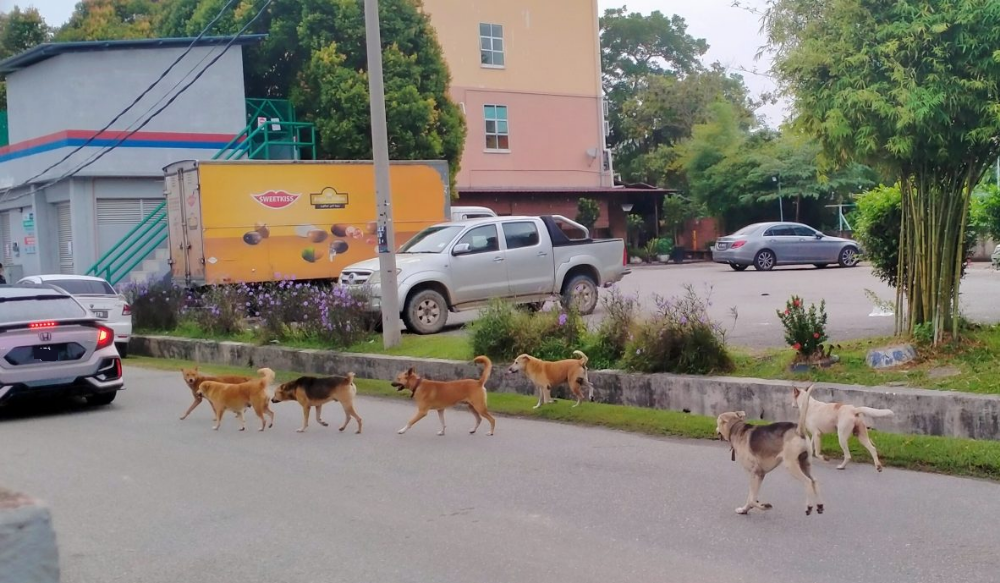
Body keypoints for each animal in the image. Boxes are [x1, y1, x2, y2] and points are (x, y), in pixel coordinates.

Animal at [716, 386, 824, 516]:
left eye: (718, 422)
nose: (716, 429)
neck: (736, 427)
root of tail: (799, 430)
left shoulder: (755, 473)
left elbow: (752, 498)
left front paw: (763, 506)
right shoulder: (760, 474)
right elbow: (751, 497)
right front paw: (745, 509)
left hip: (791, 465)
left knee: (807, 482)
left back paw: (809, 506)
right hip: (805, 463)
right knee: (814, 481)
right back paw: (819, 505)